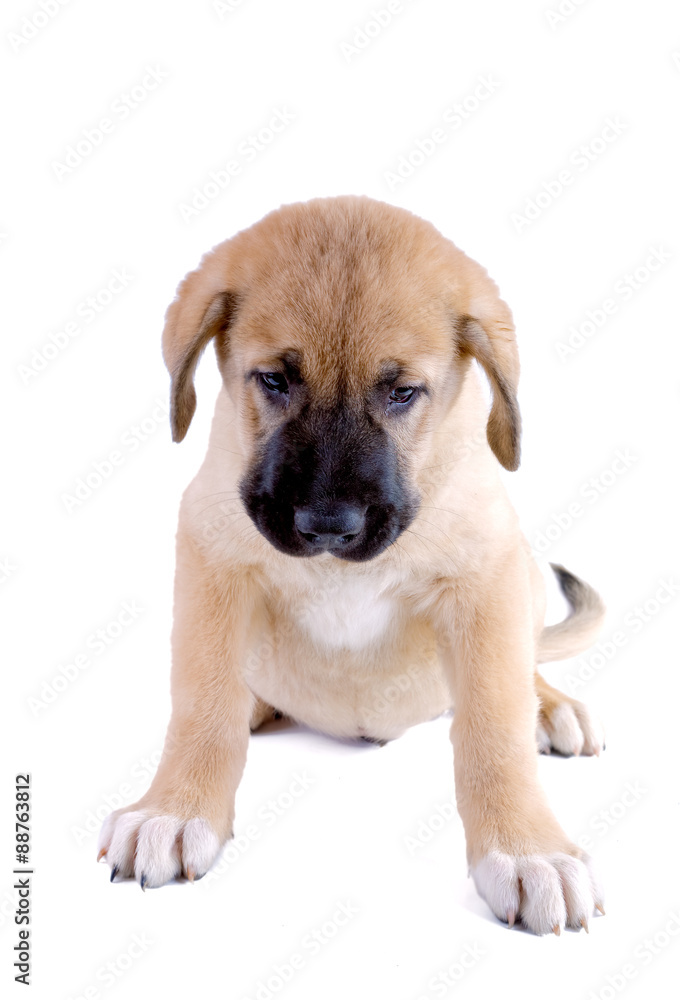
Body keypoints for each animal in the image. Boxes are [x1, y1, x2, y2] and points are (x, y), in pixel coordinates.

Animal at [97, 197, 604, 936]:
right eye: (275, 380)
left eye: (401, 393)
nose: (327, 525)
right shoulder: (213, 560)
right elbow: (203, 702)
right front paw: (175, 807)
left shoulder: (488, 577)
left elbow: (493, 723)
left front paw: (526, 848)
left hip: (529, 576)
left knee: (525, 665)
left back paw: (552, 706)